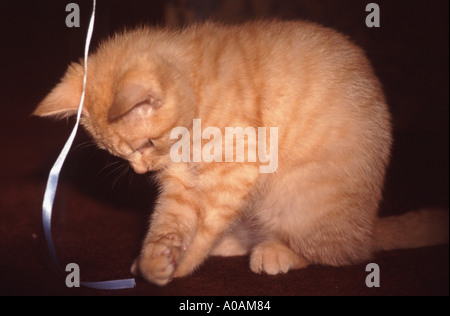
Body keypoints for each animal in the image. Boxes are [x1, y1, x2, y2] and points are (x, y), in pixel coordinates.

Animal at [34, 20, 446, 286]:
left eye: (145, 144)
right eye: (121, 155)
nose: (140, 170)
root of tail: (369, 225)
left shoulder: (237, 167)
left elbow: (206, 224)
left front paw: (184, 263)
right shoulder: (181, 184)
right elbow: (168, 220)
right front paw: (156, 256)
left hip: (298, 198)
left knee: (340, 252)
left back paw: (275, 252)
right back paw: (234, 244)